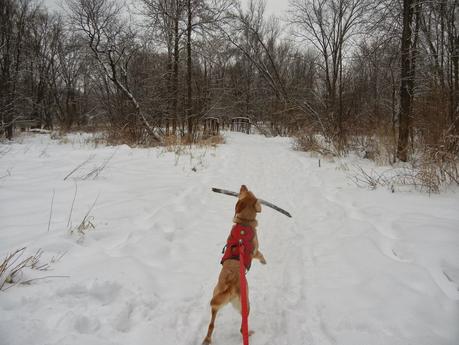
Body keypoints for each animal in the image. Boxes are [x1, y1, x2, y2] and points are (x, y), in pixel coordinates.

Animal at [204, 184, 268, 342]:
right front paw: (264, 261)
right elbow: (261, 254)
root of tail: (231, 285)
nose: (243, 185)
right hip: (247, 304)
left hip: (215, 301)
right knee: (241, 327)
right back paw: (249, 333)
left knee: (211, 325)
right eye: (248, 192)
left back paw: (207, 340)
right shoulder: (255, 251)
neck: (244, 222)